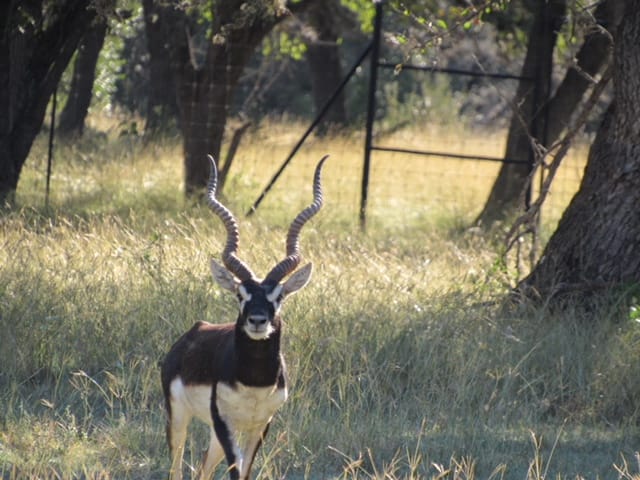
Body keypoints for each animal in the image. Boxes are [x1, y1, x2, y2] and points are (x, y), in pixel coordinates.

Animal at [161, 155, 327, 480]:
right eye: (241, 295)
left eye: (279, 296)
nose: (258, 321)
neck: (254, 382)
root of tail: (192, 333)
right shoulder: (223, 421)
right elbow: (236, 471)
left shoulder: (261, 424)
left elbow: (245, 470)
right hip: (179, 417)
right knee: (176, 466)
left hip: (216, 432)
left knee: (202, 468)